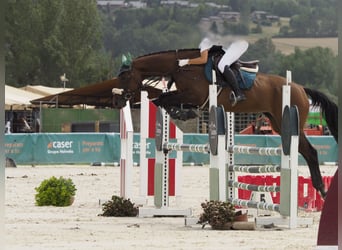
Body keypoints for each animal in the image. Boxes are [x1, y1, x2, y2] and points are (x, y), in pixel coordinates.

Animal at [109, 48, 336, 198]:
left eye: (124, 77)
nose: (118, 100)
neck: (182, 68)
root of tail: (299, 88)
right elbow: (162, 99)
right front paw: (180, 112)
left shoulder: (194, 95)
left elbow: (164, 99)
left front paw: (183, 113)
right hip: (277, 123)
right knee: (307, 152)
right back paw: (321, 189)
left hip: (288, 121)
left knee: (310, 151)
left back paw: (322, 190)